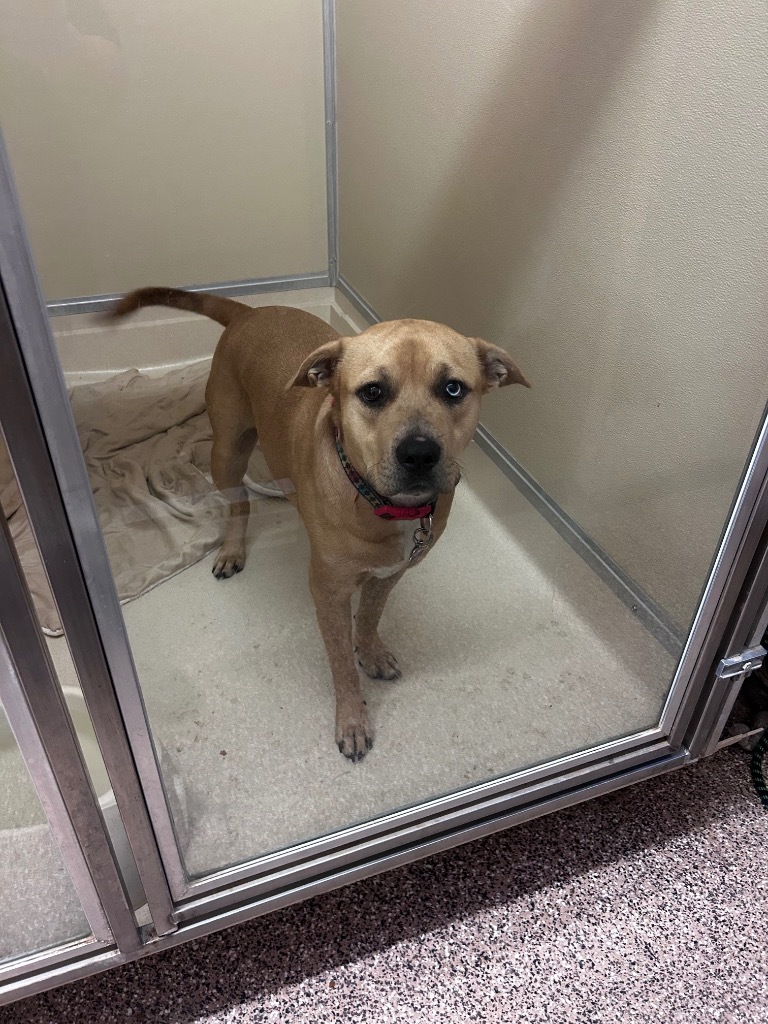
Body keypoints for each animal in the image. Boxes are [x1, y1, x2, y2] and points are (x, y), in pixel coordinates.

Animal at [109, 288, 528, 761]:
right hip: (227, 450)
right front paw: (352, 718)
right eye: (373, 392)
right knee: (239, 505)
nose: (419, 453)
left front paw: (371, 650)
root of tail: (250, 313)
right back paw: (232, 548)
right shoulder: (329, 595)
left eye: (453, 388)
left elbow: (370, 616)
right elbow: (341, 662)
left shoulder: (390, 573)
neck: (380, 502)